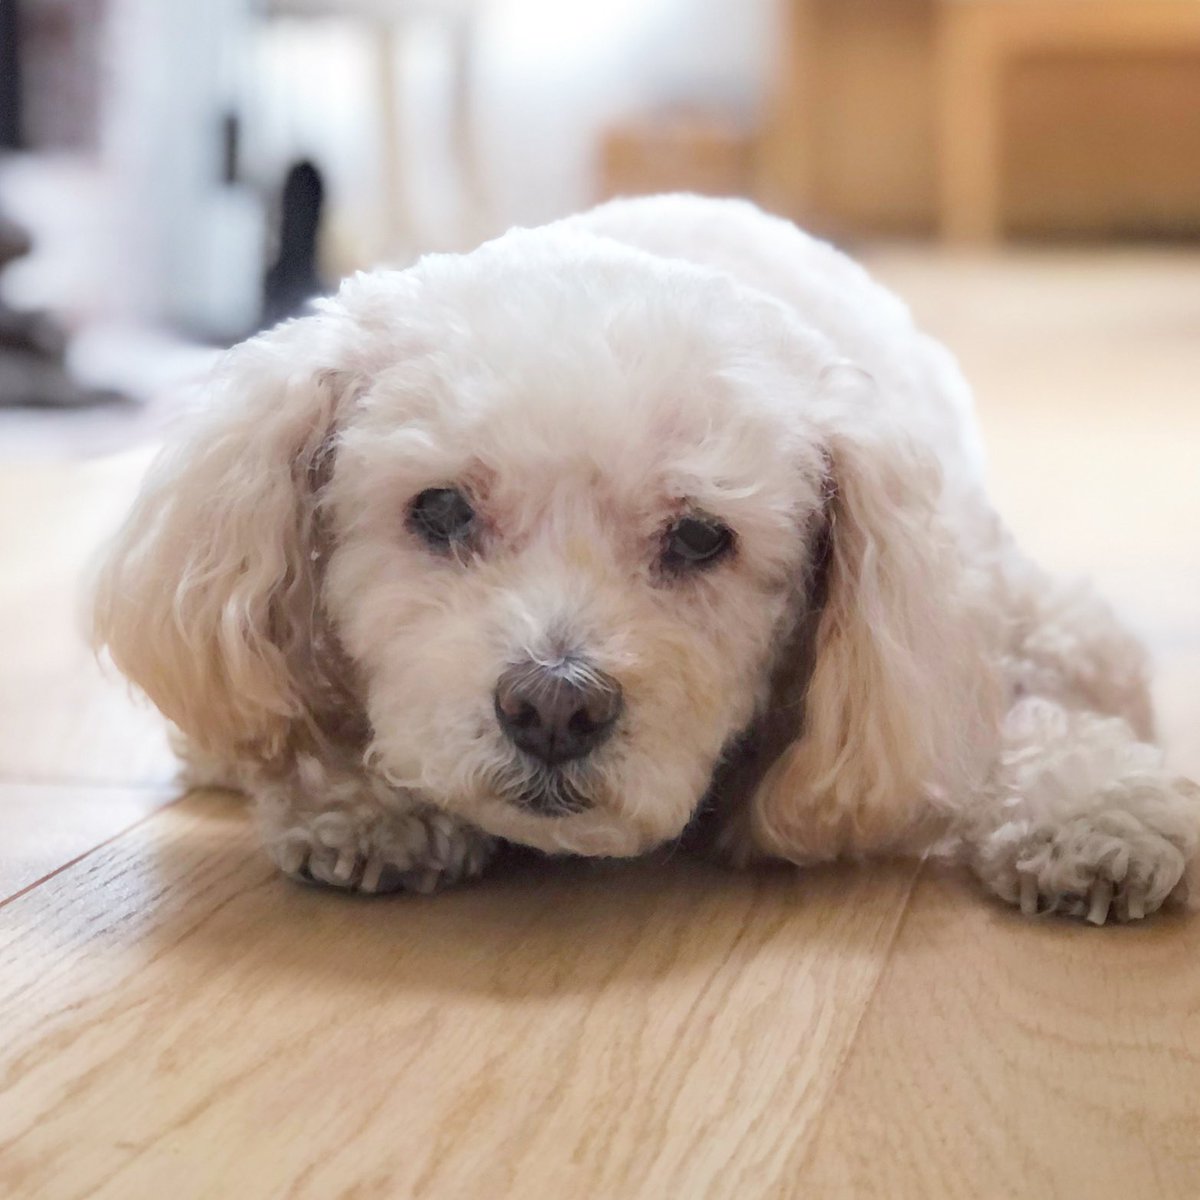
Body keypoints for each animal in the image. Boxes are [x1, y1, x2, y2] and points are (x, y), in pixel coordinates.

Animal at [93, 192, 1200, 921]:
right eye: (440, 510)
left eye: (703, 536)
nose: (553, 709)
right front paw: (366, 802)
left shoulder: (971, 622)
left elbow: (1013, 714)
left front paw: (1091, 806)